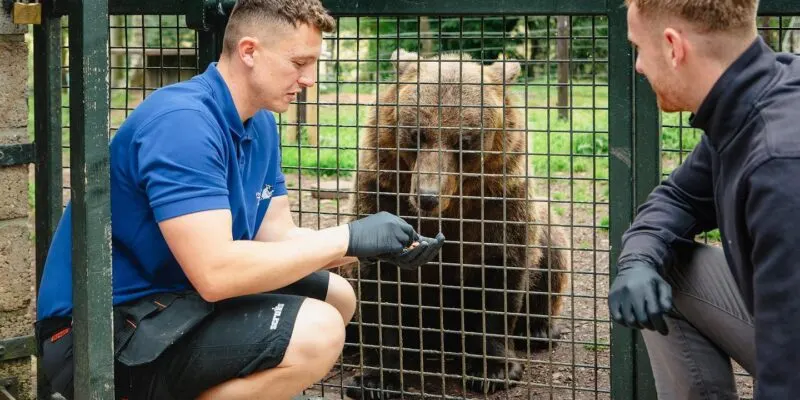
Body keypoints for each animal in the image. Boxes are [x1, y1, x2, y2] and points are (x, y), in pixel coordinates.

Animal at [340, 49, 571, 399]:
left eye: (464, 141)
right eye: (417, 134)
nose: (427, 196)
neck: (451, 208)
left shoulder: (498, 203)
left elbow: (499, 274)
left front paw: (492, 371)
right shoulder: (382, 191)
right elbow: (380, 285)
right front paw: (376, 379)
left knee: (552, 254)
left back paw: (540, 329)